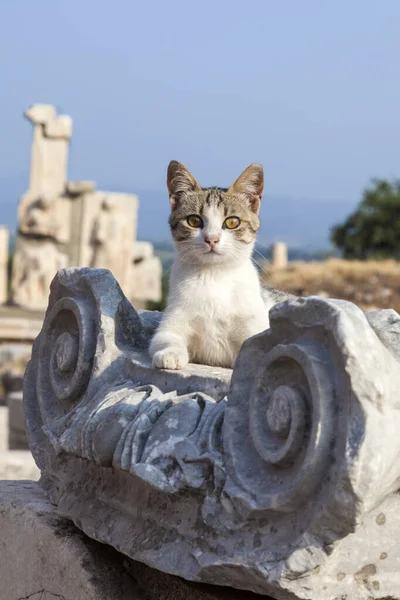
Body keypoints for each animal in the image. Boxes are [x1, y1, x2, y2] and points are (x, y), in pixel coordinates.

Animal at [148, 161, 290, 370]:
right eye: (194, 220)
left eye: (232, 222)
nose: (211, 239)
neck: (214, 276)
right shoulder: (173, 320)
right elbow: (165, 337)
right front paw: (170, 353)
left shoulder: (256, 330)